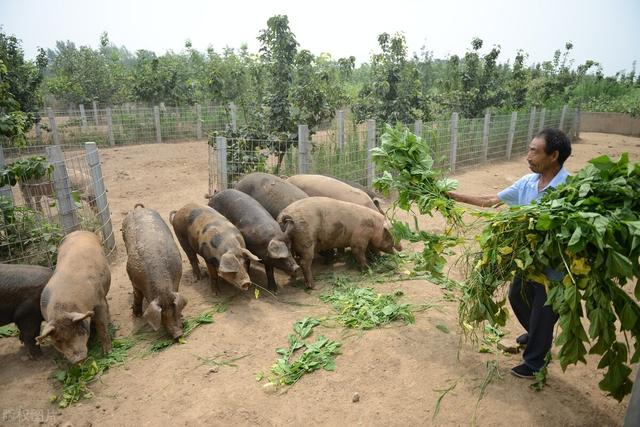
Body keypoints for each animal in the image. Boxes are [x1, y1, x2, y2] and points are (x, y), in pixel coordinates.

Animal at [36, 231, 112, 364]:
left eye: (79, 331)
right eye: (58, 340)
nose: (78, 359)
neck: (62, 309)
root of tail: (79, 231)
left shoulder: (98, 301)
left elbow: (101, 324)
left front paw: (107, 353)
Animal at [122, 206, 186, 340]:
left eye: (175, 311)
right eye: (162, 316)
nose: (178, 334)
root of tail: (139, 209)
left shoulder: (178, 277)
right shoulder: (135, 282)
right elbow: (137, 296)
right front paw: (136, 315)